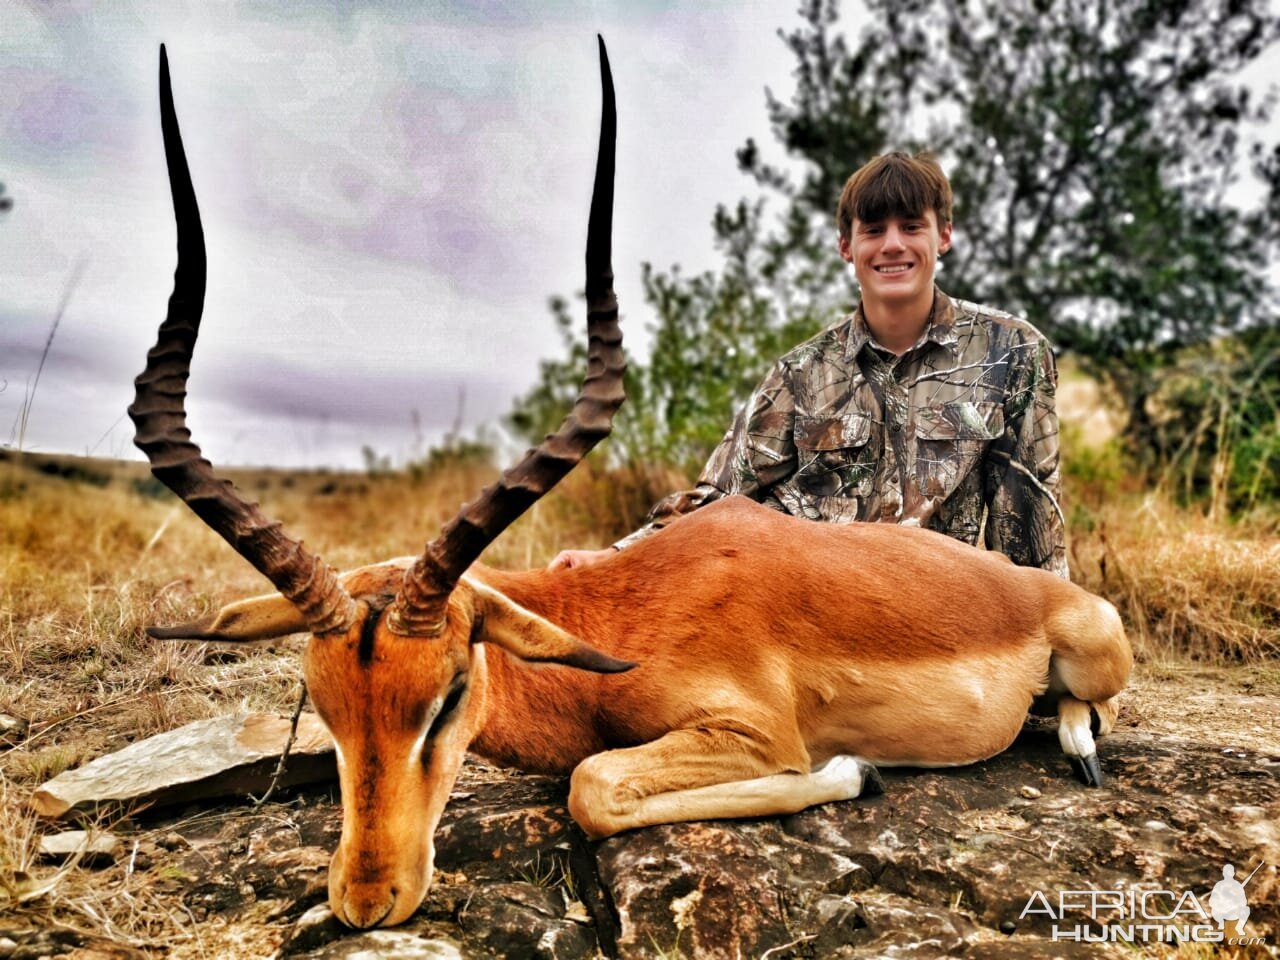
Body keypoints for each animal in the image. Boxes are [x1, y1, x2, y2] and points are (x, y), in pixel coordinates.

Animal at [132, 39, 1131, 931]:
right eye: (321, 700)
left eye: (448, 694)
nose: (367, 901)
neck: (622, 616)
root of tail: (1037, 591)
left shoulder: (754, 733)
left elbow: (594, 784)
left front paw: (857, 769)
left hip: (1096, 648)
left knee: (1088, 706)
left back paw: (1077, 743)